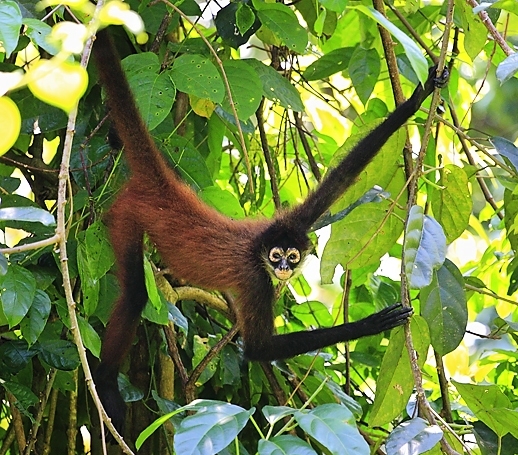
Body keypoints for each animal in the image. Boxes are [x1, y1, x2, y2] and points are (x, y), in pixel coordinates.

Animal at [92, 28, 446, 434]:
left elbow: (342, 177)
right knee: (135, 293)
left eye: (292, 256)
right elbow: (259, 348)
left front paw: (418, 97)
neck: (259, 248)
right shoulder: (255, 278)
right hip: (126, 216)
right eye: (276, 257)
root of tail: (163, 187)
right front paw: (371, 324)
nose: (283, 269)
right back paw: (105, 383)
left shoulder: (296, 222)